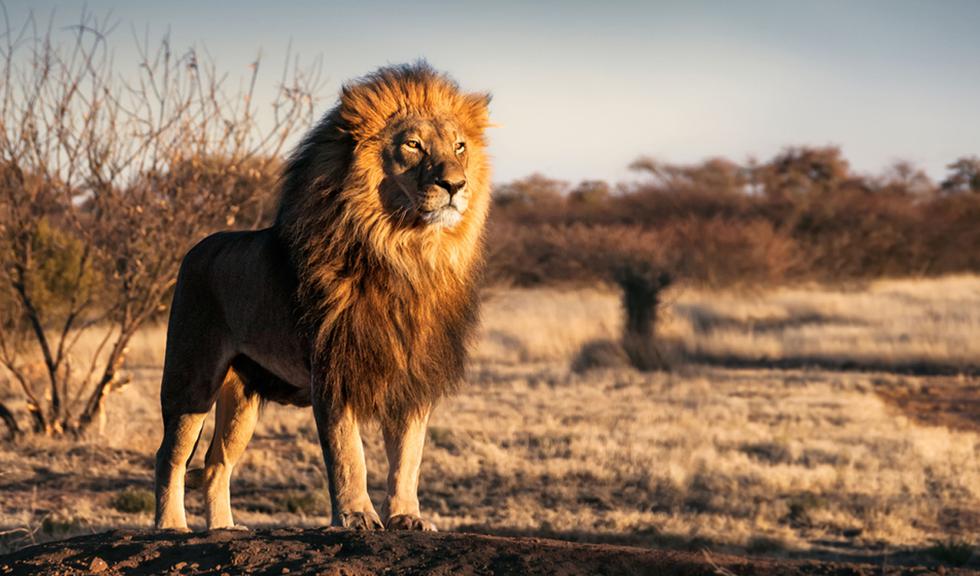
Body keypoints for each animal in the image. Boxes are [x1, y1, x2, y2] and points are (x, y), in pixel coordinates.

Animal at [157, 63, 494, 532]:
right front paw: (356, 516)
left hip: (242, 396)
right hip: (191, 378)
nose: (455, 184)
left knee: (215, 462)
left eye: (460, 146)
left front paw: (406, 517)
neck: (405, 253)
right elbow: (347, 453)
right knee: (169, 456)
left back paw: (224, 528)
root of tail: (196, 248)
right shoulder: (333, 367)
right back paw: (171, 526)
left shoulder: (413, 375)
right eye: (413, 145)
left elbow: (408, 456)